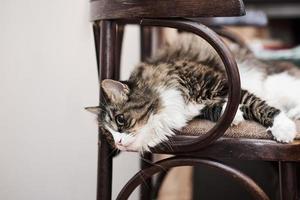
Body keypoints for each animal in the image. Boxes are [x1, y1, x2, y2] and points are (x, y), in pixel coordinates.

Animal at [86, 33, 300, 152]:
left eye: (120, 120)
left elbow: (258, 105)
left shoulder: (222, 83)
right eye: (108, 135)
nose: (119, 143)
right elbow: (216, 109)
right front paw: (233, 115)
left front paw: (283, 128)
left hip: (276, 84)